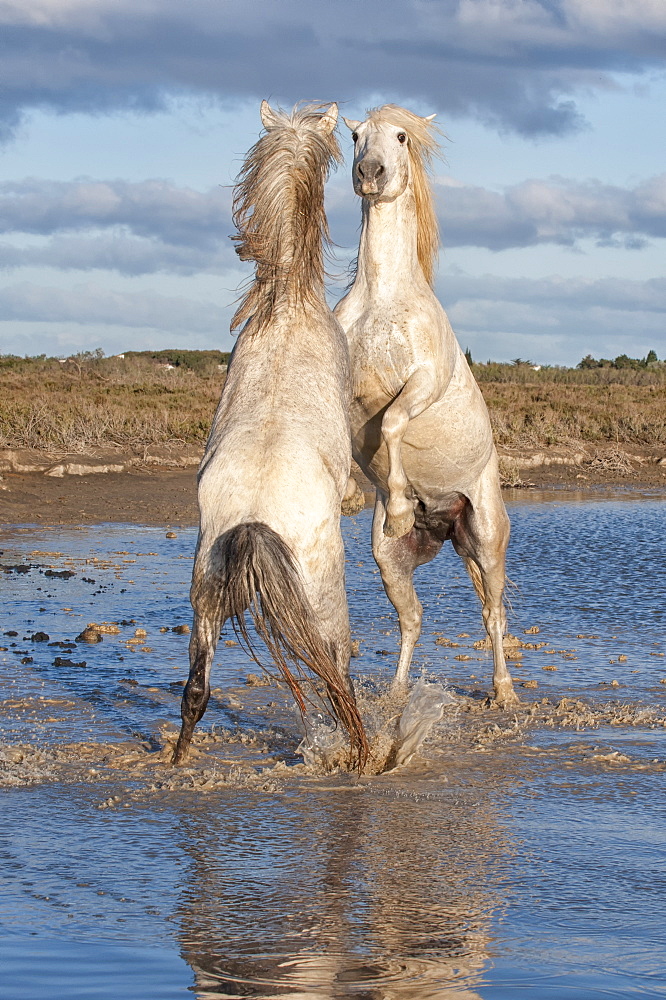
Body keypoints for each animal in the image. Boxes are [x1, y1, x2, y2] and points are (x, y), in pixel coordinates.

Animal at [171, 101, 368, 768]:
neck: (287, 307)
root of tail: (255, 520)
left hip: (204, 600)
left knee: (196, 691)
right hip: (324, 601)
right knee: (337, 680)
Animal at [334, 105, 516, 708]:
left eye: (400, 137)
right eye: (354, 135)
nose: (369, 173)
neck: (382, 301)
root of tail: (444, 521)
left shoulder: (423, 384)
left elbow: (391, 420)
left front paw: (393, 503)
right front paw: (357, 495)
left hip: (486, 539)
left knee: (493, 613)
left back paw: (504, 692)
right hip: (391, 561)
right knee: (412, 619)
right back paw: (394, 695)